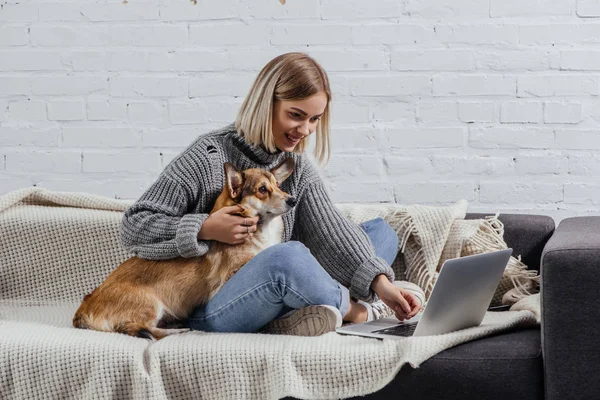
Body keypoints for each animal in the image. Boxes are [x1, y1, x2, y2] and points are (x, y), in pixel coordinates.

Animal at [74, 158, 296, 340]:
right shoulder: (232, 273)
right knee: (146, 330)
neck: (261, 229)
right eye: (262, 189)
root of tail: (85, 305)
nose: (292, 200)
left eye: (278, 185)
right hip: (151, 305)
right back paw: (177, 330)